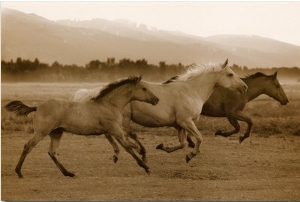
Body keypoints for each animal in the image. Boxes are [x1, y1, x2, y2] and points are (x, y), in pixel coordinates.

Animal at [4, 76, 159, 178]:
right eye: (144, 88)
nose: (156, 99)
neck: (109, 104)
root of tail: (37, 106)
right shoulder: (115, 129)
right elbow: (128, 147)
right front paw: (146, 167)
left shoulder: (113, 130)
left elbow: (127, 143)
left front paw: (139, 155)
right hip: (41, 132)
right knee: (28, 146)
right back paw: (19, 172)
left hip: (56, 133)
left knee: (52, 152)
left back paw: (68, 173)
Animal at [73, 59, 248, 163]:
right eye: (230, 74)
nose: (245, 87)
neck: (191, 91)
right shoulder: (186, 121)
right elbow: (198, 138)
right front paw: (190, 156)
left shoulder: (180, 124)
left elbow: (183, 143)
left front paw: (163, 147)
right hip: (122, 119)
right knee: (124, 134)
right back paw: (137, 151)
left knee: (113, 135)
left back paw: (120, 154)